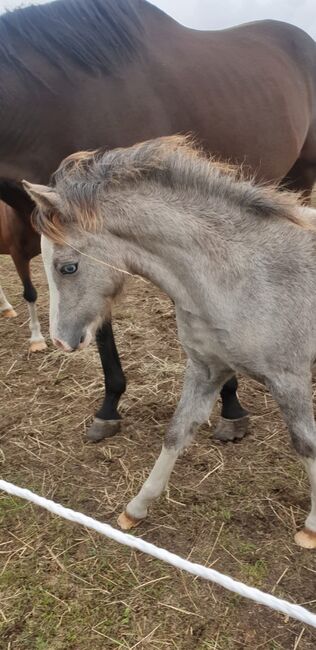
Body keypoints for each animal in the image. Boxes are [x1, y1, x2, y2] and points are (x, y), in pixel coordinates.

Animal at [25, 138, 316, 548]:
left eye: (68, 267)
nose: (61, 341)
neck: (246, 273)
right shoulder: (207, 370)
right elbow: (177, 432)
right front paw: (136, 509)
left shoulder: (289, 377)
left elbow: (305, 443)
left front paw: (311, 528)